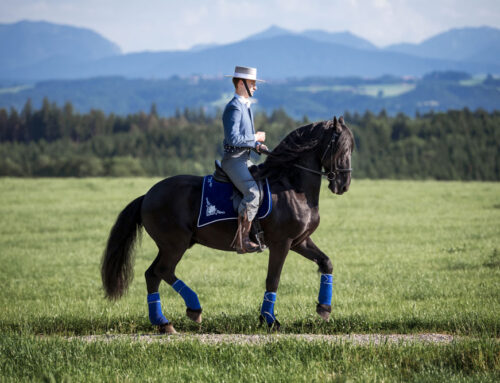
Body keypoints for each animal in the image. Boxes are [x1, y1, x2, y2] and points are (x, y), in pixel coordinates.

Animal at [100, 115, 352, 334]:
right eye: (341, 147)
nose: (343, 185)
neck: (291, 185)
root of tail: (147, 195)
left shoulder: (300, 241)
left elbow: (326, 263)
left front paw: (324, 309)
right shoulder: (282, 243)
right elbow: (273, 279)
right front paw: (269, 320)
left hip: (172, 245)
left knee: (152, 274)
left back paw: (163, 323)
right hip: (175, 244)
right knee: (163, 271)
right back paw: (193, 309)